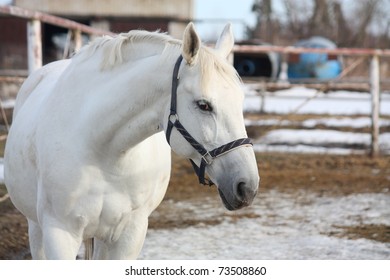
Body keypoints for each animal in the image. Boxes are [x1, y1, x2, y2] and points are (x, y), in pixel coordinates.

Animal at [3, 23, 258, 260]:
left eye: (240, 101)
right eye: (203, 105)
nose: (247, 187)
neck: (103, 151)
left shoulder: (130, 234)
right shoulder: (60, 233)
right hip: (36, 227)